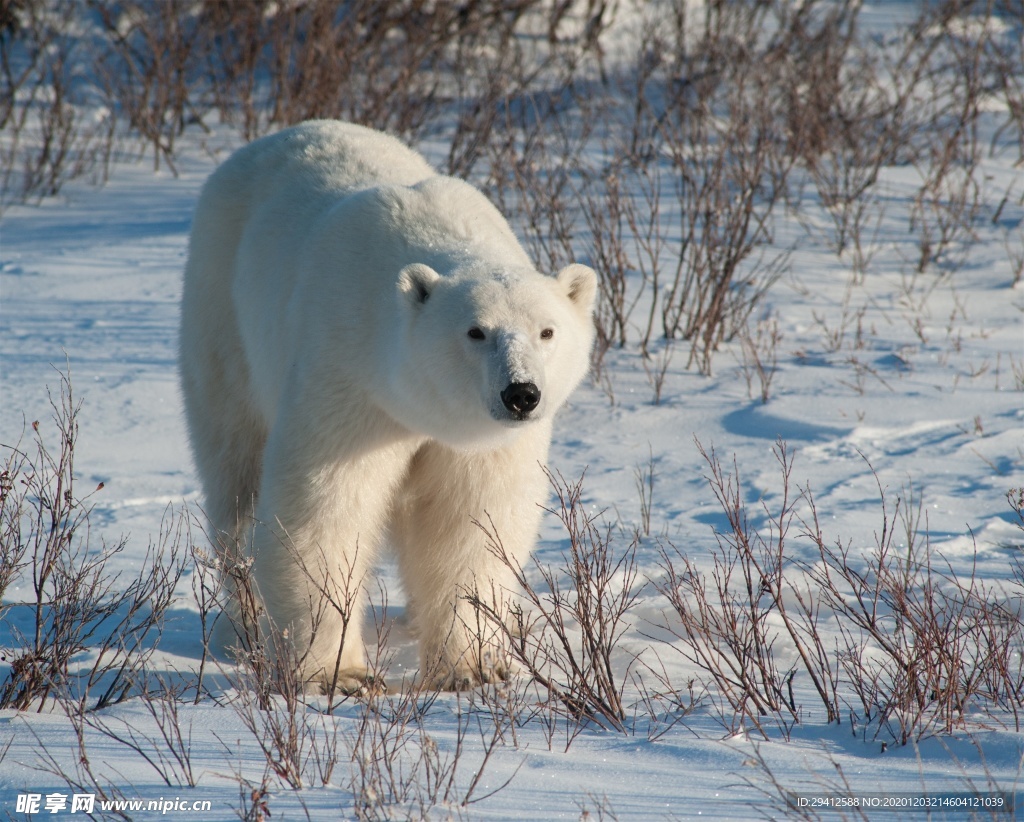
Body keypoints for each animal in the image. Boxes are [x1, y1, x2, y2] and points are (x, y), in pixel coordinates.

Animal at [180, 118, 598, 691]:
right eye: (476, 331)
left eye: (547, 331)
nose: (521, 394)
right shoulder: (349, 381)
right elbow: (324, 510)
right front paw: (340, 674)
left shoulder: (478, 442)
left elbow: (472, 523)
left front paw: (473, 668)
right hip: (222, 315)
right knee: (235, 475)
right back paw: (247, 628)